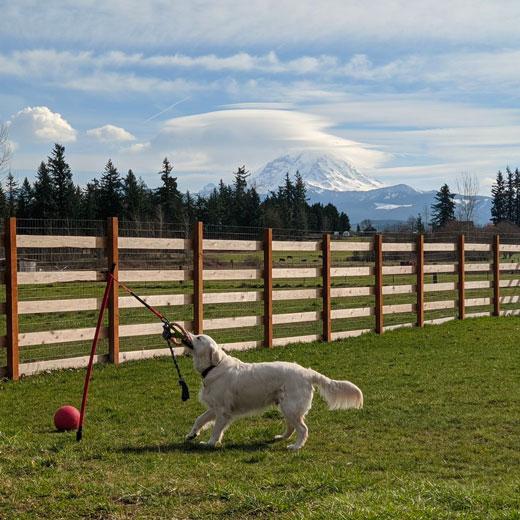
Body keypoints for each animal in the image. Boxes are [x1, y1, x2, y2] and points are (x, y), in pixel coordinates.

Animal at [185, 336, 364, 448]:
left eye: (199, 337)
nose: (188, 333)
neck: (213, 367)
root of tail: (307, 372)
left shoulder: (223, 411)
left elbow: (216, 430)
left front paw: (210, 443)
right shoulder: (214, 408)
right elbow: (200, 419)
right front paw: (192, 434)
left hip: (290, 407)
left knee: (302, 429)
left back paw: (296, 446)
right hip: (285, 406)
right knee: (292, 427)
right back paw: (281, 437)